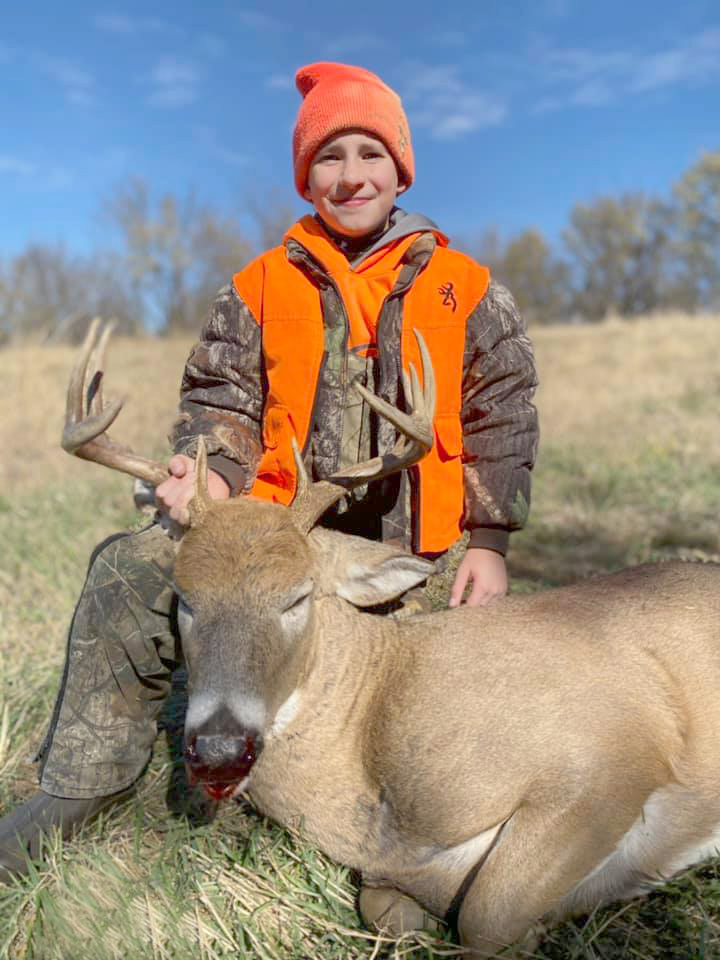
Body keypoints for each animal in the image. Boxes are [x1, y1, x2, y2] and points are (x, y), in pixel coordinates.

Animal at [61, 319, 720, 957]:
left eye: (297, 596)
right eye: (186, 600)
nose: (220, 748)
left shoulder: (610, 760)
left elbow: (484, 919)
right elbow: (386, 909)